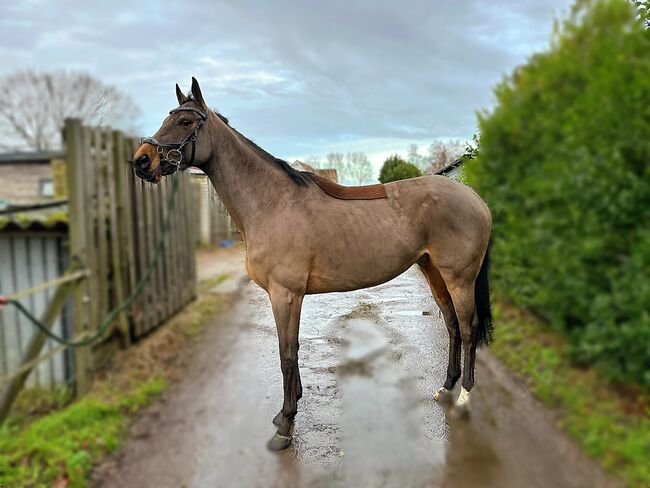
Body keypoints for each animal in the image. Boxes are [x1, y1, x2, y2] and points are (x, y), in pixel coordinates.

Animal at [132, 77, 492, 450]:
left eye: (185, 121)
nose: (141, 161)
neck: (271, 203)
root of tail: (475, 199)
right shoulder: (290, 296)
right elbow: (291, 350)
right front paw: (289, 408)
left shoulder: (285, 294)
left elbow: (286, 355)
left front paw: (285, 424)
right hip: (433, 271)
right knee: (451, 325)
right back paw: (446, 388)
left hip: (460, 278)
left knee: (468, 328)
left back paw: (464, 396)